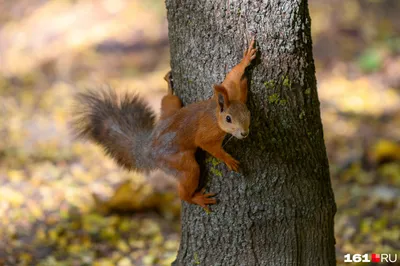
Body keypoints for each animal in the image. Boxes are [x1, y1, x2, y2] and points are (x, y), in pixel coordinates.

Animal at [72, 38, 256, 211]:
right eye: (228, 119)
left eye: (248, 113)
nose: (244, 133)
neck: (215, 114)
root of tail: (150, 148)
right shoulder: (207, 132)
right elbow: (206, 144)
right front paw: (228, 159)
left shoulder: (231, 92)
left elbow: (231, 77)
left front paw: (246, 60)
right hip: (177, 161)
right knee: (187, 179)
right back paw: (196, 198)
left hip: (171, 108)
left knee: (168, 100)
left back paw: (168, 85)